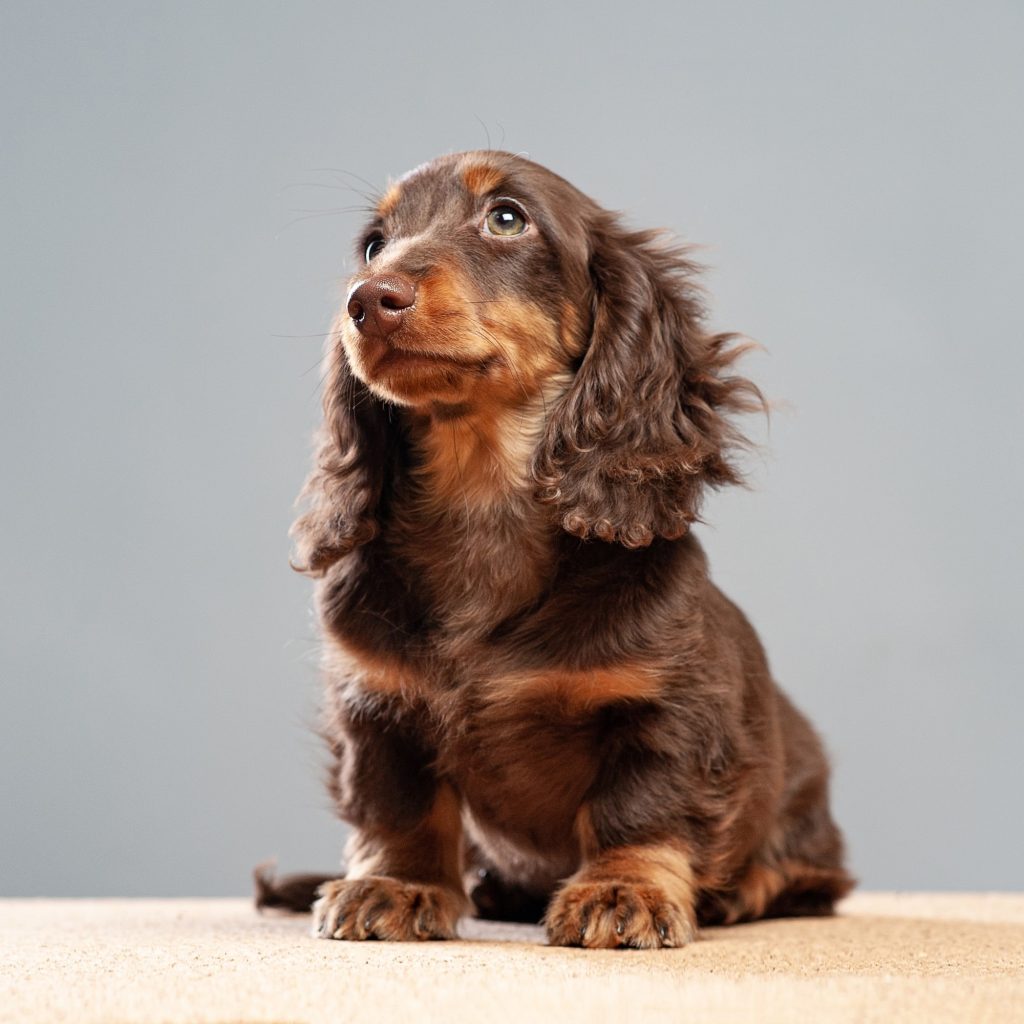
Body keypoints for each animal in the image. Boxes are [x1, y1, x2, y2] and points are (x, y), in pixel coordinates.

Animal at [258, 148, 856, 946]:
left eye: (507, 218)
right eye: (373, 244)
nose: (368, 299)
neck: (481, 503)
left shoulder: (668, 708)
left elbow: (639, 809)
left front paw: (623, 890)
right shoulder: (377, 704)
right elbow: (399, 806)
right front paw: (396, 885)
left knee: (813, 877)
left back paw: (744, 890)